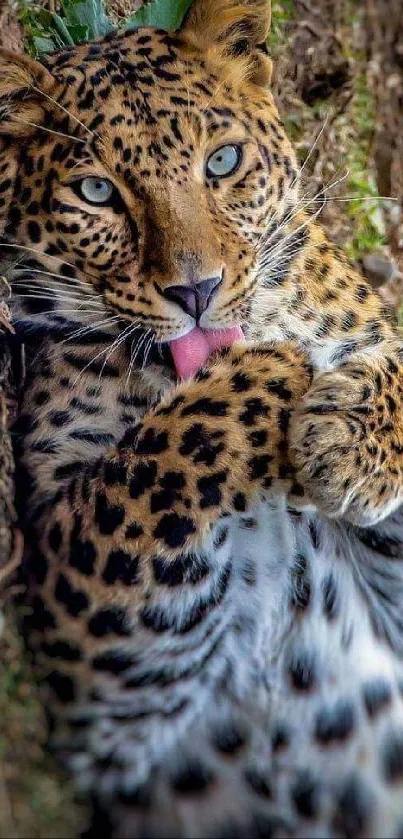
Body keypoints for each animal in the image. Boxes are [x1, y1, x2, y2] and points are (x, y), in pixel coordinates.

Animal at [2, 1, 403, 832]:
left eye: (221, 163)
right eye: (97, 191)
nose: (197, 291)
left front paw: (345, 436)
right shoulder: (85, 634)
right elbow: (150, 464)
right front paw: (274, 368)